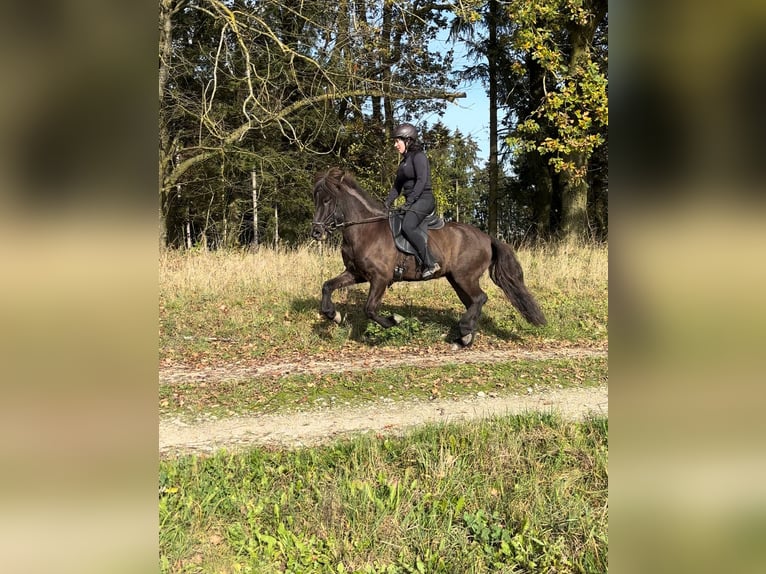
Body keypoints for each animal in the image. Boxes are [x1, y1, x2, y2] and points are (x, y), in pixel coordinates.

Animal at [308, 166, 548, 346]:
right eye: (315, 199)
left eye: (328, 200)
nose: (316, 232)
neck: (365, 229)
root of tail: (487, 238)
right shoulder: (356, 274)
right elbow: (327, 286)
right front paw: (334, 315)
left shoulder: (380, 278)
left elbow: (370, 309)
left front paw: (395, 320)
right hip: (457, 279)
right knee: (473, 302)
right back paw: (465, 336)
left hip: (465, 277)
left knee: (480, 298)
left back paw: (464, 331)